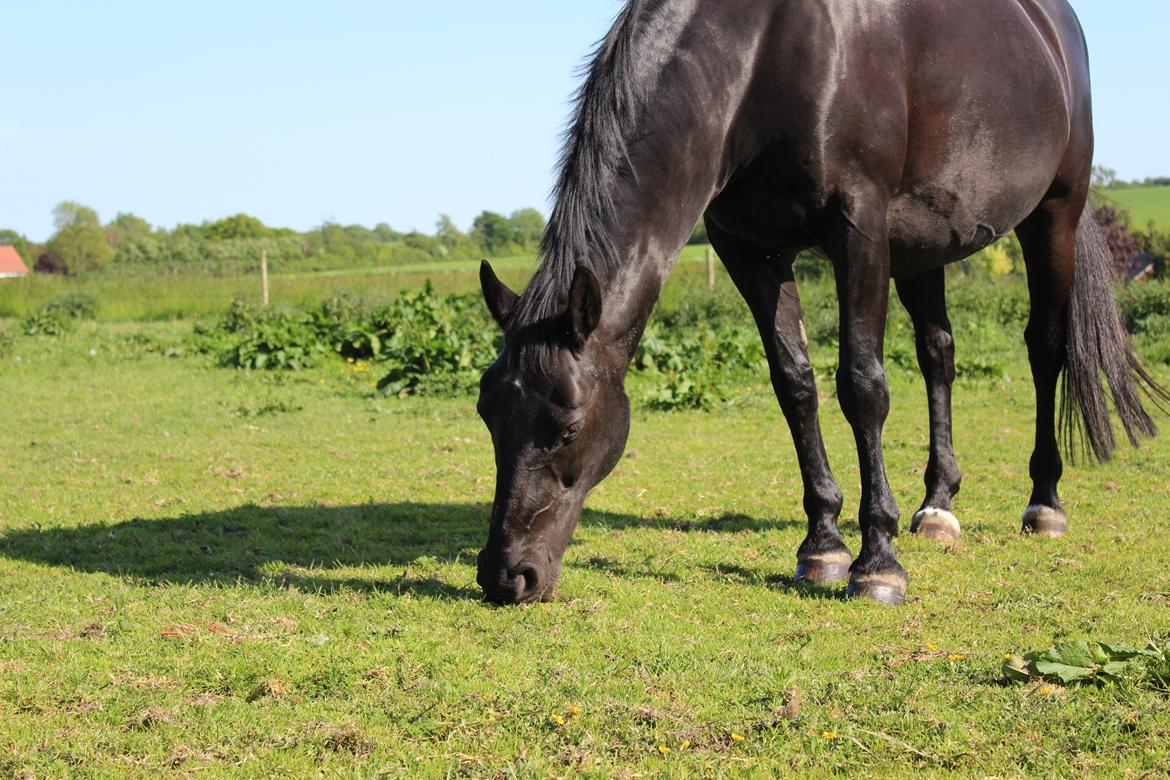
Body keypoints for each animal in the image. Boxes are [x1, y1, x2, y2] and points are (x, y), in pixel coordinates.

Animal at [470, 0, 1165, 603]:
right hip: (925, 242)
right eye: (487, 417)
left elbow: (863, 386)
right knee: (938, 354)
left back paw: (1044, 502)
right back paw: (937, 506)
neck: (767, 52)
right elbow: (794, 384)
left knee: (1045, 348)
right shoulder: (748, 248)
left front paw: (877, 562)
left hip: (1055, 214)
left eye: (568, 427)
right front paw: (823, 546)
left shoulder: (858, 227)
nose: (506, 576)